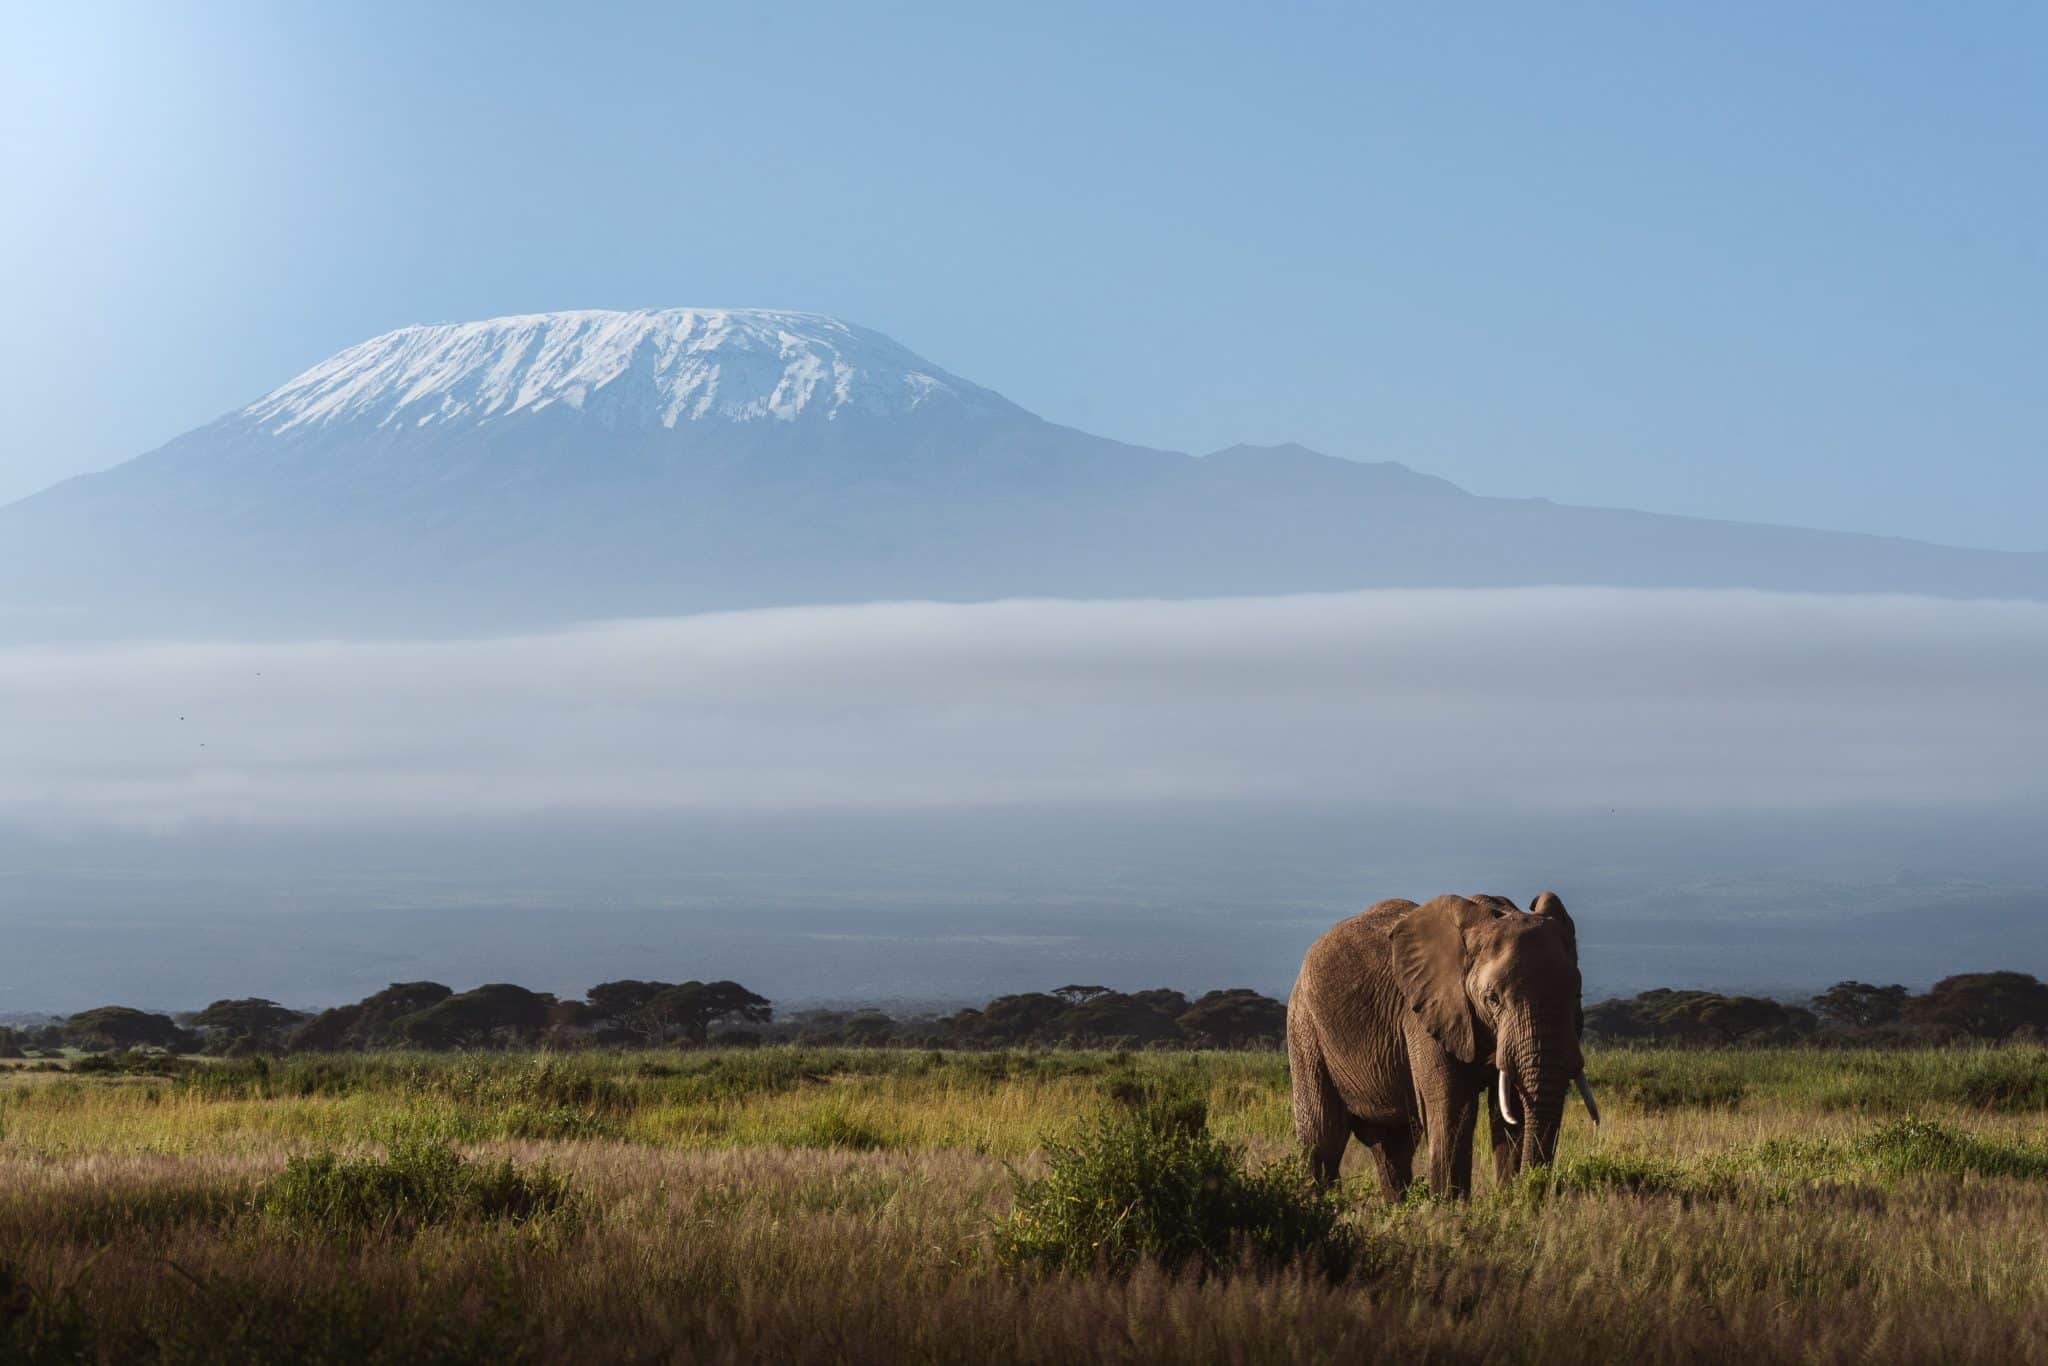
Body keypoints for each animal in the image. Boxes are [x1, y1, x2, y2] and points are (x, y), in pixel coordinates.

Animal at [1277, 897, 1597, 1196]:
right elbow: (1452, 1108)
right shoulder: (1425, 1014)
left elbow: (1512, 1110)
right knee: (1323, 1138)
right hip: (1304, 1026)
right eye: (1492, 999)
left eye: (1577, 995)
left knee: (1393, 1146)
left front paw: (1509, 1201)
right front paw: (1451, 1210)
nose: (1533, 1188)